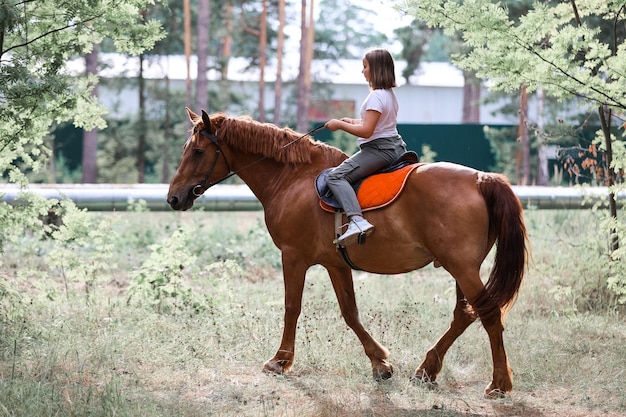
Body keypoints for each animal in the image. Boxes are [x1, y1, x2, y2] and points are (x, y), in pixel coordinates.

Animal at [166, 109, 528, 394]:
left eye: (197, 151)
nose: (174, 198)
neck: (293, 179)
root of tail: (482, 179)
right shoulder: (335, 264)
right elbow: (350, 312)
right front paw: (380, 364)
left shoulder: (293, 256)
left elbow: (292, 307)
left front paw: (280, 361)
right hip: (460, 267)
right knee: (464, 314)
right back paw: (427, 370)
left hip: (462, 267)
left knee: (488, 314)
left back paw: (499, 383)